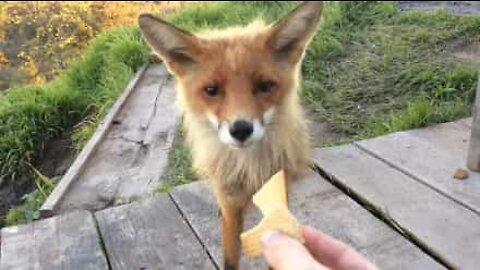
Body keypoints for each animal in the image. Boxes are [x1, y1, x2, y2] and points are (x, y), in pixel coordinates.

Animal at [139, 1, 324, 268]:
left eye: (265, 86)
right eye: (211, 90)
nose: (241, 130)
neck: (248, 171)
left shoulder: (278, 198)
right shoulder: (230, 207)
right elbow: (229, 258)